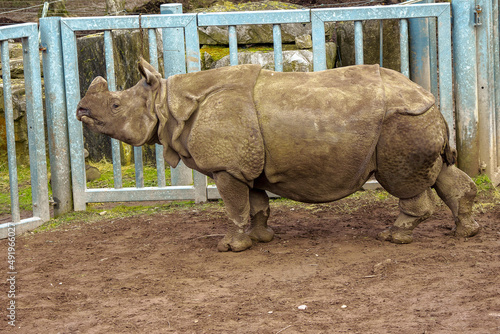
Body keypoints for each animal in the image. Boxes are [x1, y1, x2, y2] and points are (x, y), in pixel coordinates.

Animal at [76, 58, 478, 250]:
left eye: (115, 105)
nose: (80, 110)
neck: (166, 102)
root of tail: (431, 98)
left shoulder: (226, 168)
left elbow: (235, 207)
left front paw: (231, 247)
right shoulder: (244, 166)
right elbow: (257, 205)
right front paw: (262, 239)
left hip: (401, 121)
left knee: (404, 183)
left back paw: (392, 237)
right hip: (416, 118)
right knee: (440, 174)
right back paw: (466, 233)